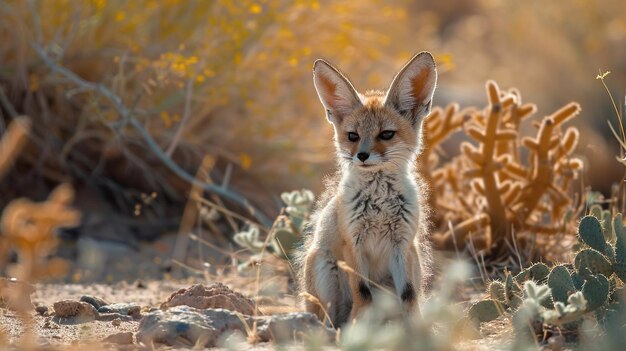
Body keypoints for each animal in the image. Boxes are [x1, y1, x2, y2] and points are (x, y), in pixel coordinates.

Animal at [300, 51, 436, 328]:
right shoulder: (353, 242)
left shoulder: (402, 244)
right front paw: (358, 327)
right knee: (328, 319)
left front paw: (417, 329)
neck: (379, 205)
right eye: (352, 136)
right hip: (322, 266)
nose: (361, 156)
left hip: (414, 260)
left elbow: (409, 295)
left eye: (386, 134)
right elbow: (362, 292)